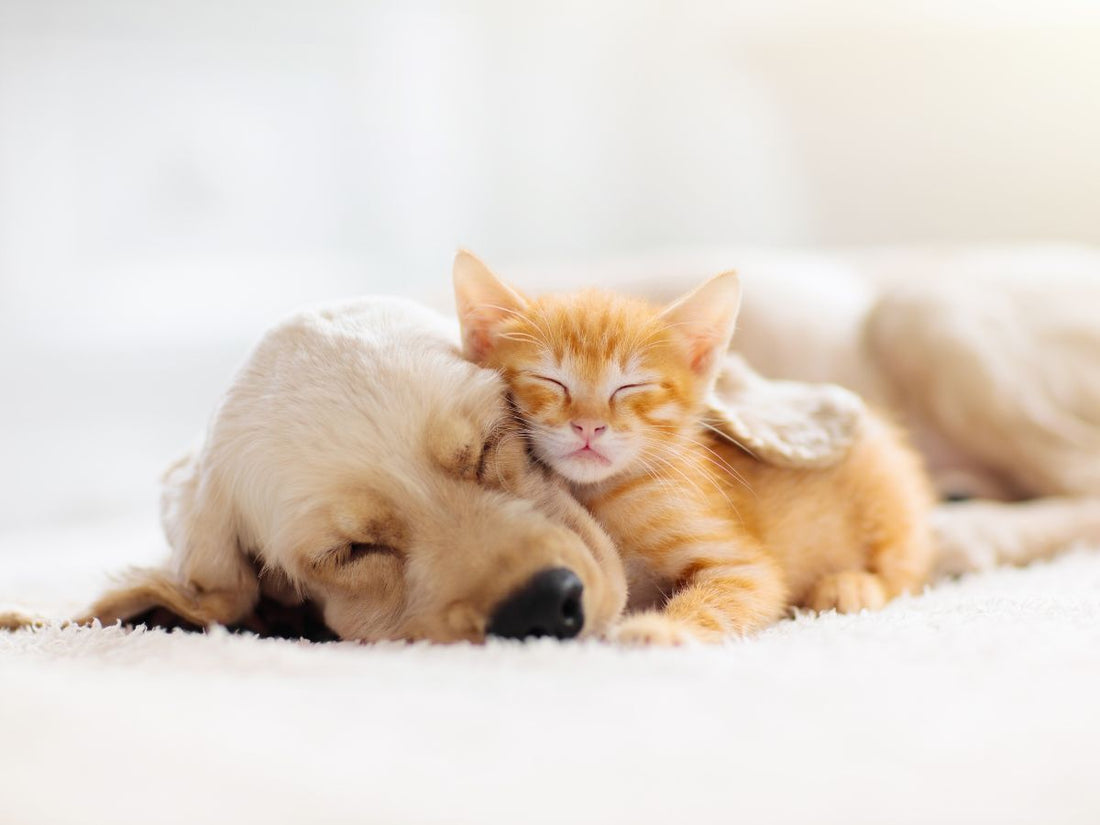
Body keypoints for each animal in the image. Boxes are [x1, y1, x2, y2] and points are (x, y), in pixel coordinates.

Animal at [451, 251, 932, 646]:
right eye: (550, 380)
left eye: (630, 386)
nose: (588, 425)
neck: (601, 496)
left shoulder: (742, 566)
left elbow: (725, 595)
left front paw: (661, 628)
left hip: (886, 492)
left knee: (907, 568)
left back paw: (852, 585)